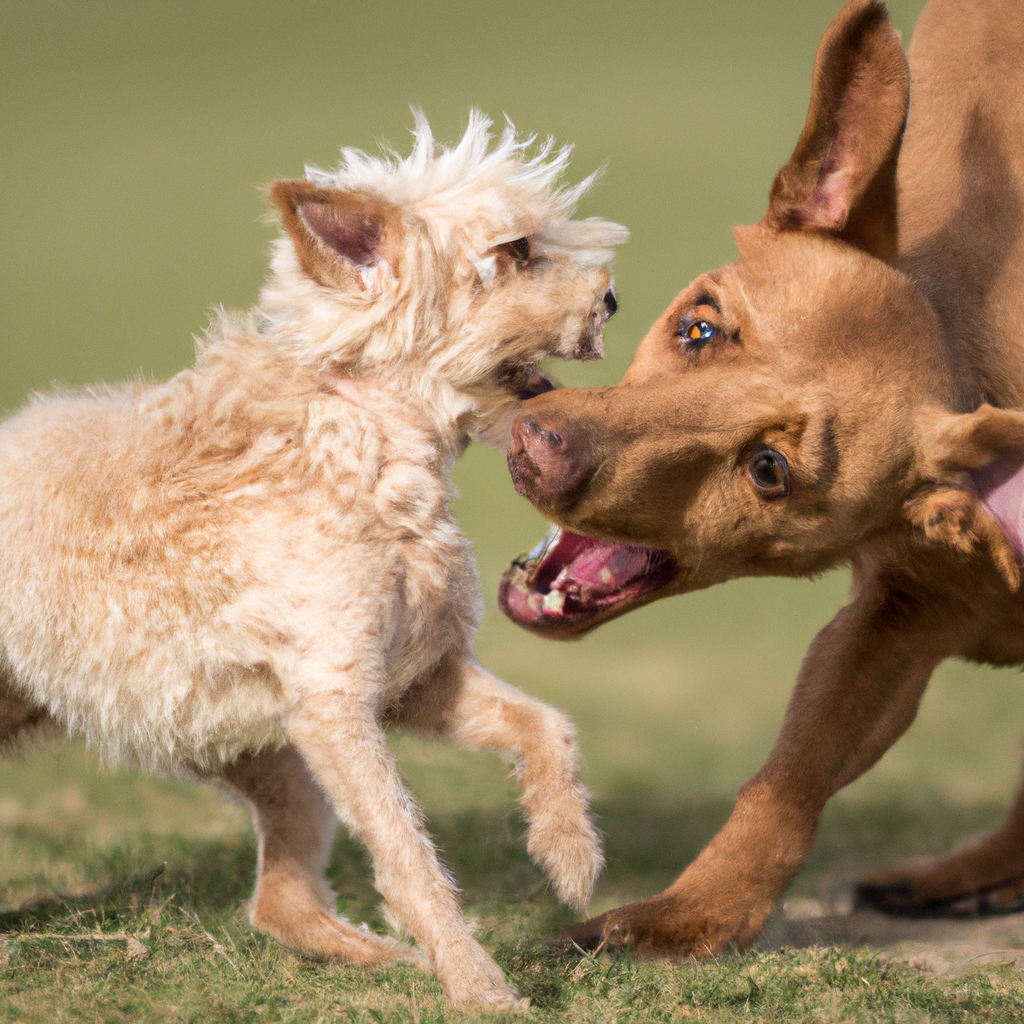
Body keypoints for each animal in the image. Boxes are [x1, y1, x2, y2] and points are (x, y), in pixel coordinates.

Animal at [0, 114, 630, 1007]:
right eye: (513, 252)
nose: (610, 298)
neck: (368, 442)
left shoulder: (411, 680)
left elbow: (547, 725)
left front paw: (568, 852)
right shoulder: (337, 703)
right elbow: (408, 853)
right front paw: (478, 985)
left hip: (276, 761)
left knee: (280, 904)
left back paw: (389, 957)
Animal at [503, 0, 1024, 954]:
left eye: (769, 469)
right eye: (701, 329)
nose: (539, 442)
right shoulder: (899, 612)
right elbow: (787, 781)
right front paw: (686, 915)